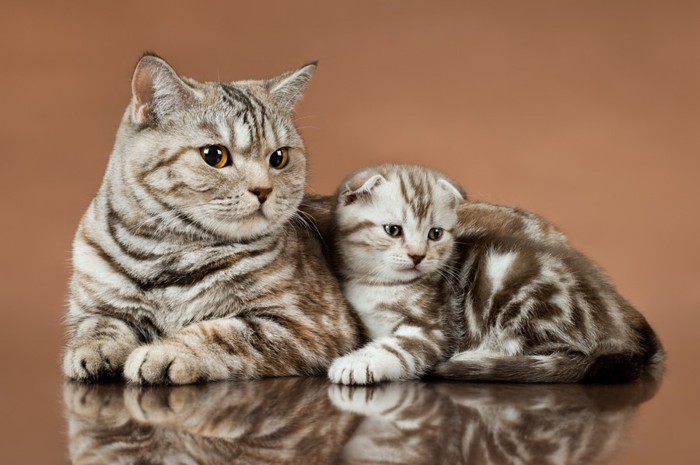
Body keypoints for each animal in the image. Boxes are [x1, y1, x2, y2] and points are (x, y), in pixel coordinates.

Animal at [63, 54, 364, 382]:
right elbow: (99, 323)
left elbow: (223, 332)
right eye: (214, 155)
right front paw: (92, 349)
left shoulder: (310, 324)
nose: (263, 190)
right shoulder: (92, 305)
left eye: (278, 158)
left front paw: (163, 353)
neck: (166, 254)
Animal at [300, 164, 660, 384]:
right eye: (393, 230)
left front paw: (355, 363)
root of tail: (616, 323)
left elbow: (397, 348)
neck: (377, 284)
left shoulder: (435, 328)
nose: (417, 256)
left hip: (516, 287)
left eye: (435, 233)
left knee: (560, 354)